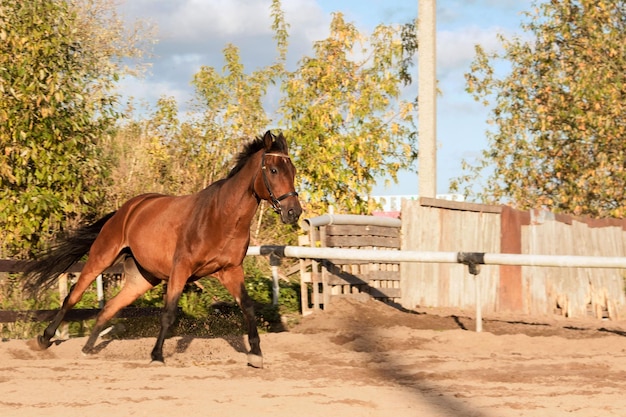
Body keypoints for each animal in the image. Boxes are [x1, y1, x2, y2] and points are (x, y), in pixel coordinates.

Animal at [25, 131, 304, 368]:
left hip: (142, 279)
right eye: (274, 169)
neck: (221, 217)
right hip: (101, 258)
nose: (294, 212)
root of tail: (128, 209)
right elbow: (169, 313)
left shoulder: (230, 270)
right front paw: (157, 356)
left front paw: (255, 354)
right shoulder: (181, 269)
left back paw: (87, 348)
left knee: (109, 307)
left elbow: (247, 307)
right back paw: (44, 339)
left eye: (293, 170)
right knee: (73, 296)